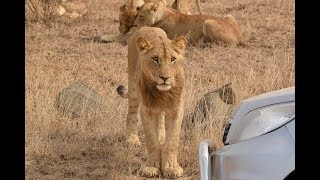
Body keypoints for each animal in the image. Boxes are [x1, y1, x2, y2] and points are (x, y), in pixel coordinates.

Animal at [117, 26, 188, 178]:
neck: (163, 93)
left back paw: (161, 136)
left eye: (173, 59)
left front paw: (171, 168)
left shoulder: (176, 109)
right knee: (131, 113)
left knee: (160, 119)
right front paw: (151, 167)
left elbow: (172, 140)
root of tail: (146, 27)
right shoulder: (147, 109)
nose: (165, 78)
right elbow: (151, 141)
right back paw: (132, 138)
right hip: (134, 88)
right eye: (155, 59)